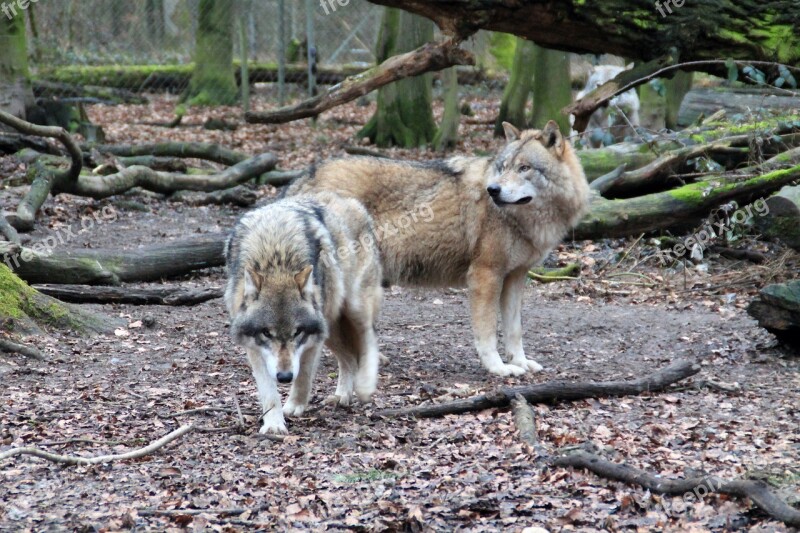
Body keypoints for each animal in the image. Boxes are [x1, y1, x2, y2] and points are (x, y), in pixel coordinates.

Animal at [225, 191, 384, 432]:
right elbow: (268, 390)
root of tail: (351, 201)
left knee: (368, 342)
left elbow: (304, 376)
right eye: (267, 333)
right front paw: (273, 423)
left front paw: (295, 405)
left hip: (352, 311)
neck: (276, 257)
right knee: (348, 357)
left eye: (297, 332)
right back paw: (342, 395)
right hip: (329, 328)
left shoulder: (311, 341)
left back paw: (364, 386)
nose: (284, 376)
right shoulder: (254, 347)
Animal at [284, 120, 592, 378]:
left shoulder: (515, 277)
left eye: (524, 168)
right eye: (504, 167)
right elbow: (487, 333)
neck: (523, 221)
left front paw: (521, 362)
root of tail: (304, 176)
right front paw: (498, 368)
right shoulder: (485, 275)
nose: (493, 190)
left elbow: (514, 331)